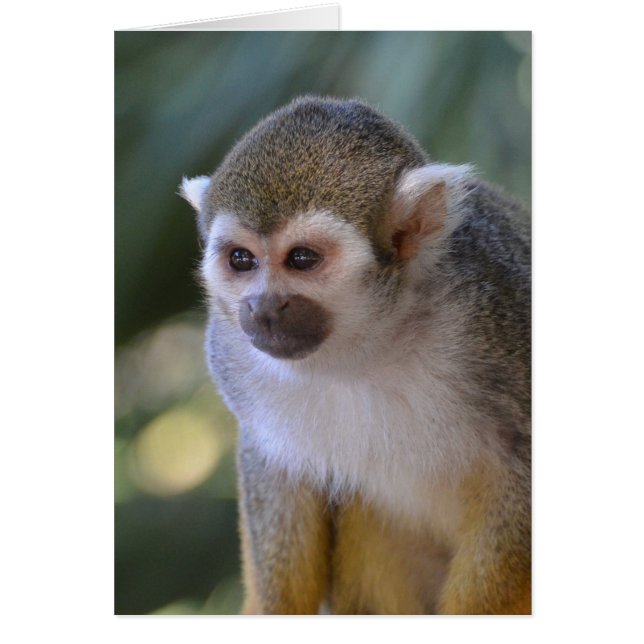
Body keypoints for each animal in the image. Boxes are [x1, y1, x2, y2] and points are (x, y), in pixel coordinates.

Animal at [180, 96, 531, 615]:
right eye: (241, 259)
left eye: (302, 259)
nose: (263, 307)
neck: (367, 342)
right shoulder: (229, 350)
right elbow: (273, 467)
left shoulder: (500, 308)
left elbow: (520, 466)